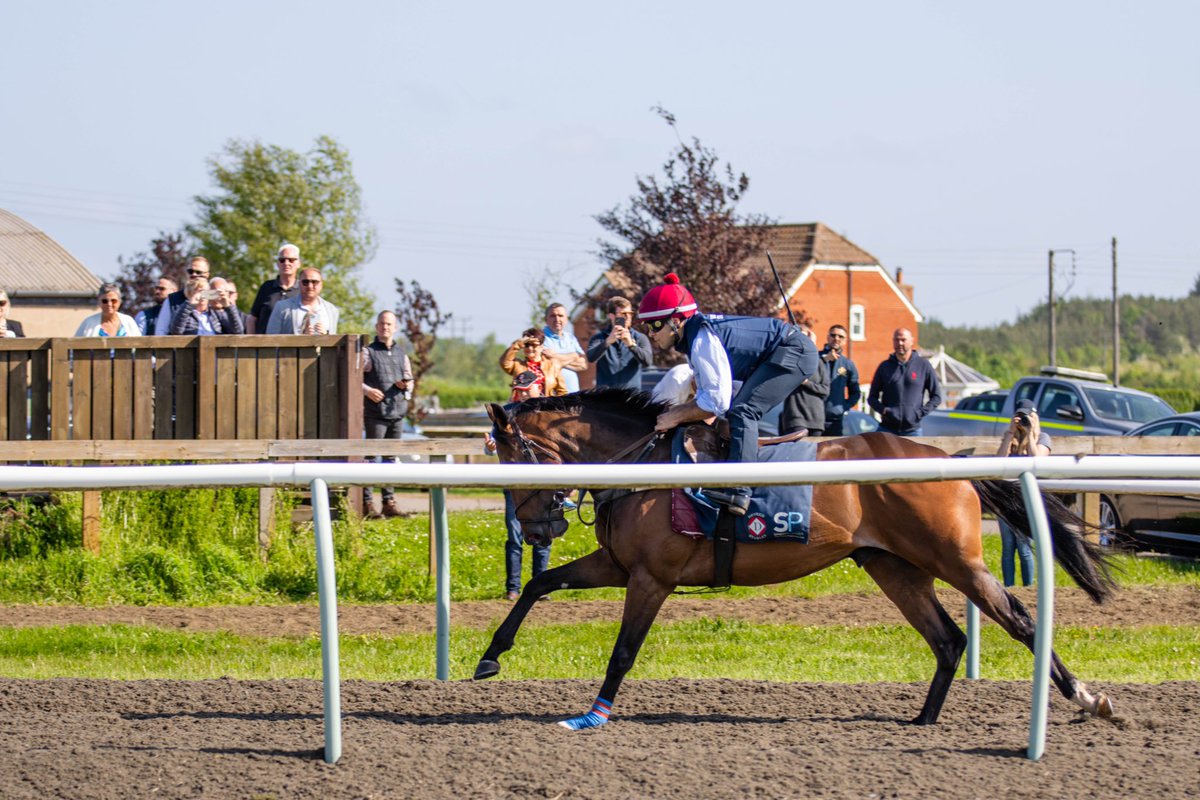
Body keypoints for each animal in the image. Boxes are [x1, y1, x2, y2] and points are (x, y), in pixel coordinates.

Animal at [475, 388, 1113, 734]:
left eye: (510, 458)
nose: (539, 526)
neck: (643, 464)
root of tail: (951, 462)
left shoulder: (652, 577)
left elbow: (624, 650)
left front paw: (593, 715)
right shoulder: (619, 564)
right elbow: (540, 583)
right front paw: (489, 658)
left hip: (954, 560)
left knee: (1018, 620)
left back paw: (1087, 698)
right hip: (892, 566)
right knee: (948, 638)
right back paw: (923, 720)